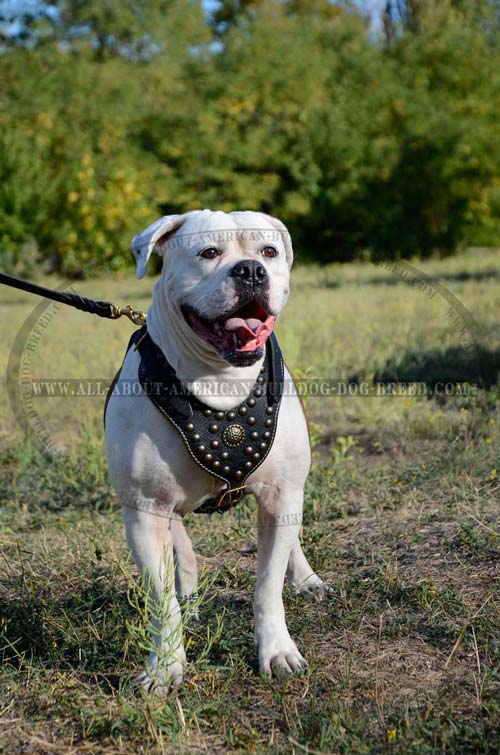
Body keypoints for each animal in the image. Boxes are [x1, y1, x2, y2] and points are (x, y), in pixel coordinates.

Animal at [105, 210, 328, 692]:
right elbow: (160, 599)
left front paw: (276, 650)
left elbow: (267, 585)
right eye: (208, 253)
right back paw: (189, 593)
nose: (250, 271)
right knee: (181, 552)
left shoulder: (282, 494)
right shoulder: (145, 510)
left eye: (269, 251)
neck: (220, 378)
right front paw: (165, 667)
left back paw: (305, 578)